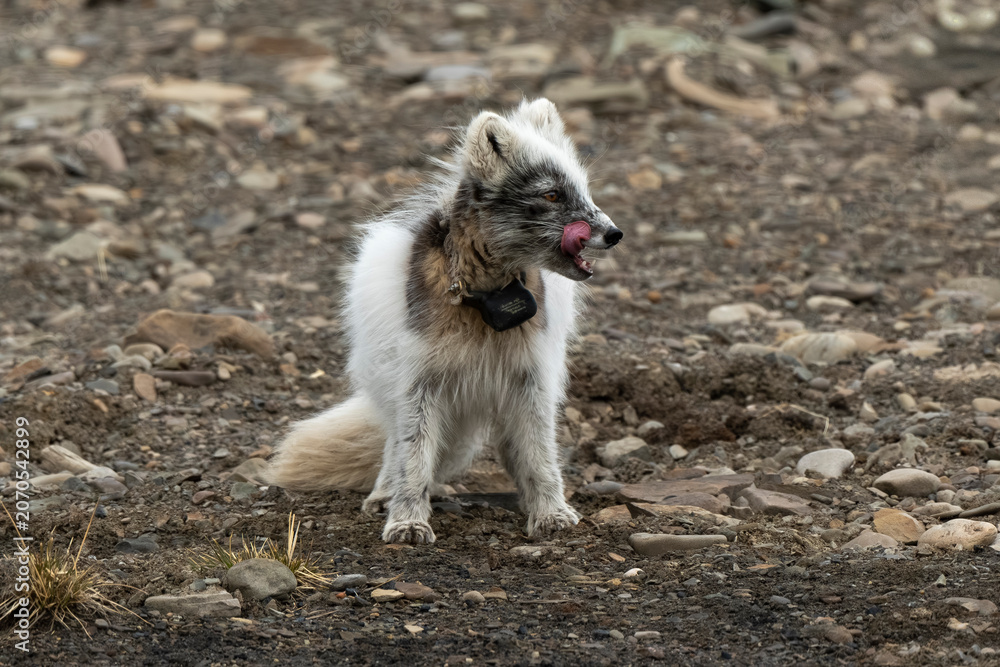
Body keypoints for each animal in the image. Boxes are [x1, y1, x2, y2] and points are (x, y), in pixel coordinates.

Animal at [264, 98, 623, 544]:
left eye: (585, 190)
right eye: (552, 194)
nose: (615, 234)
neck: (485, 300)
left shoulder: (532, 377)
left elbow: (540, 455)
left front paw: (551, 513)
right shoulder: (419, 381)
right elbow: (413, 456)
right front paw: (406, 520)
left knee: (513, 448)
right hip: (393, 383)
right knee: (393, 444)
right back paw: (383, 494)